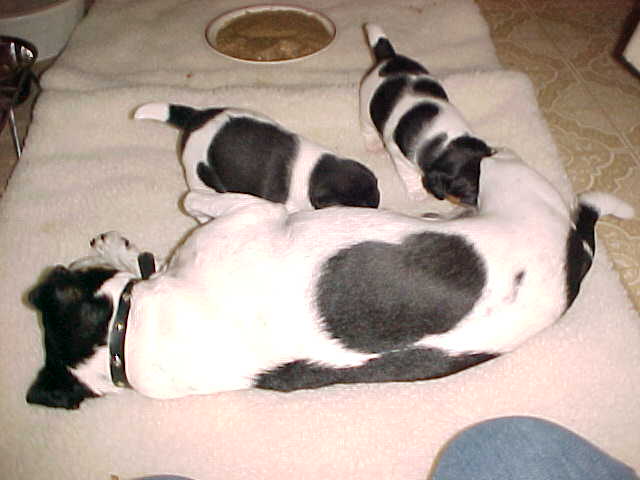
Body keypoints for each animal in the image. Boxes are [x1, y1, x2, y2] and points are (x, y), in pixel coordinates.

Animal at [26, 147, 636, 408]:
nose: (58, 266)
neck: (125, 339)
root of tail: (576, 248)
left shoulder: (249, 215)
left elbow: (191, 202)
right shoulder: (249, 218)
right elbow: (182, 216)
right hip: (508, 177)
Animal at [360, 23, 496, 206]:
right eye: (471, 194)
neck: (443, 142)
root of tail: (389, 58)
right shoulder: (399, 158)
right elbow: (409, 176)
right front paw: (417, 193)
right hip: (365, 106)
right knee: (367, 127)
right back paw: (373, 144)